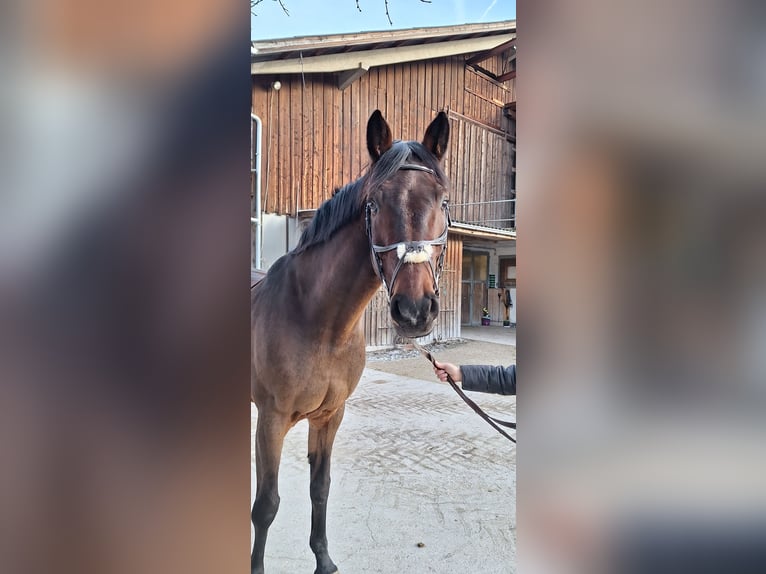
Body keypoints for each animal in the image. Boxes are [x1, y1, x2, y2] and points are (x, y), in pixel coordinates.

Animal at [251, 109, 451, 574]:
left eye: (443, 201)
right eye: (373, 203)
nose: (415, 310)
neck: (319, 323)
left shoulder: (330, 416)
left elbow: (319, 488)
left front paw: (324, 559)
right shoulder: (271, 419)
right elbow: (266, 505)